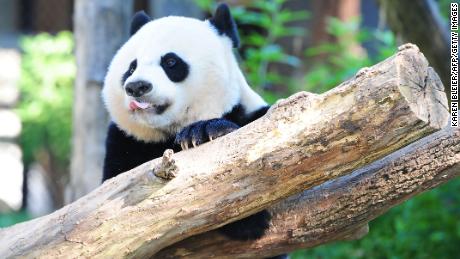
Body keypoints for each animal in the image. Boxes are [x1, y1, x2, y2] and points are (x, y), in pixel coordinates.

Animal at [101, 3, 284, 256]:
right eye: (131, 67)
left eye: (170, 62)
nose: (137, 86)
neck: (169, 131)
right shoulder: (125, 140)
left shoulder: (254, 119)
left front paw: (205, 132)